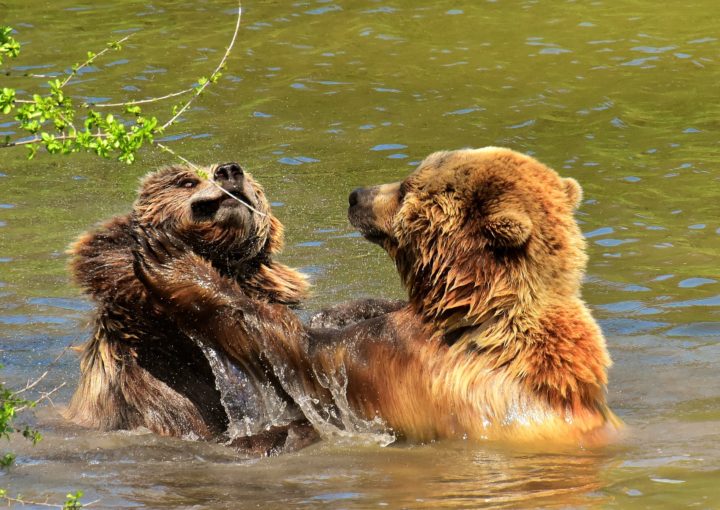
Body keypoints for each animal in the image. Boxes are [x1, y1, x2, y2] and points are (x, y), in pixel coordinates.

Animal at [132, 147, 620, 446]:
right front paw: (336, 310)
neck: (468, 303)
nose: (356, 195)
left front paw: (171, 260)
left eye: (405, 187)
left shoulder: (399, 362)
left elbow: (299, 354)